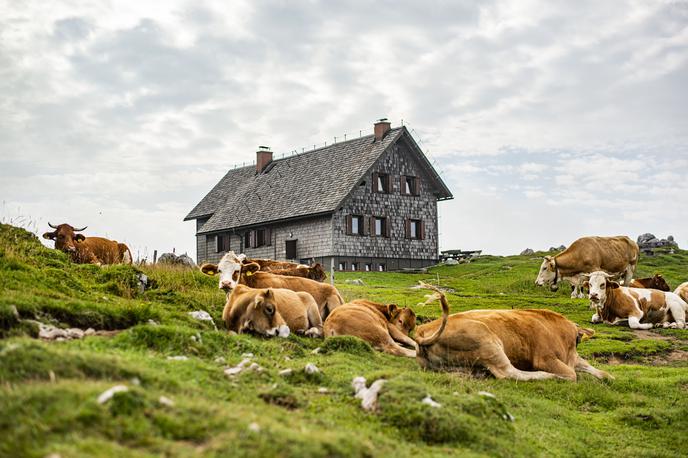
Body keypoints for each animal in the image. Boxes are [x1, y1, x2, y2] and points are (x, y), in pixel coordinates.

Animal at [412, 282, 612, 382]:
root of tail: (423, 331)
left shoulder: (573, 357)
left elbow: (598, 370)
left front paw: (609, 377)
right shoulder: (545, 358)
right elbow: (572, 374)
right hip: (489, 342)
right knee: (509, 373)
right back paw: (548, 376)